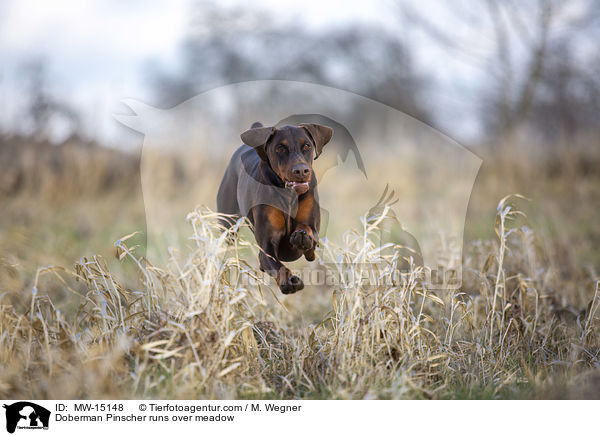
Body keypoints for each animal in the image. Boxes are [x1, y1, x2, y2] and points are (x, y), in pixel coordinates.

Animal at [217, 121, 332, 294]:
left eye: (307, 146)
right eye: (280, 148)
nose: (301, 170)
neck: (289, 196)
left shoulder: (313, 231)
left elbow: (309, 235)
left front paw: (302, 236)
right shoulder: (266, 246)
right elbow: (275, 263)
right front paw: (289, 281)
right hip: (228, 227)